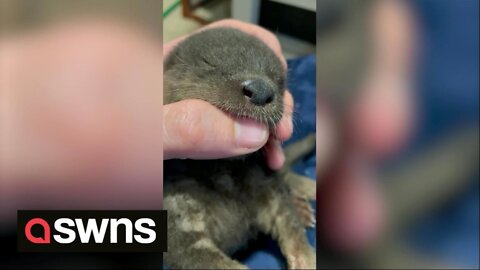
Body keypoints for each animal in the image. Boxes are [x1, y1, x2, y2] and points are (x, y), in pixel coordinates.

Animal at [163, 26, 316, 268]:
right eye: (210, 64)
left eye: (277, 78)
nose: (260, 89)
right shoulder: (178, 221)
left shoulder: (265, 187)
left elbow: (288, 221)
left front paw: (304, 258)